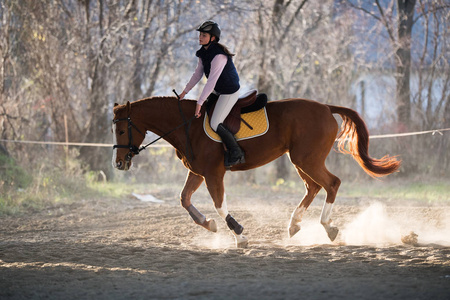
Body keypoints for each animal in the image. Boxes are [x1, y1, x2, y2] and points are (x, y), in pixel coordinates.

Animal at [112, 95, 400, 246]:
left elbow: (219, 205)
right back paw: (294, 225)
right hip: (300, 160)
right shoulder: (197, 172)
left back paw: (327, 227)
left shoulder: (213, 174)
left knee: (331, 184)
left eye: (122, 130)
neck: (187, 126)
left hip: (307, 159)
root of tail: (326, 107)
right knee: (314, 187)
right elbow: (184, 199)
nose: (119, 164)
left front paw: (239, 235)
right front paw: (209, 225)